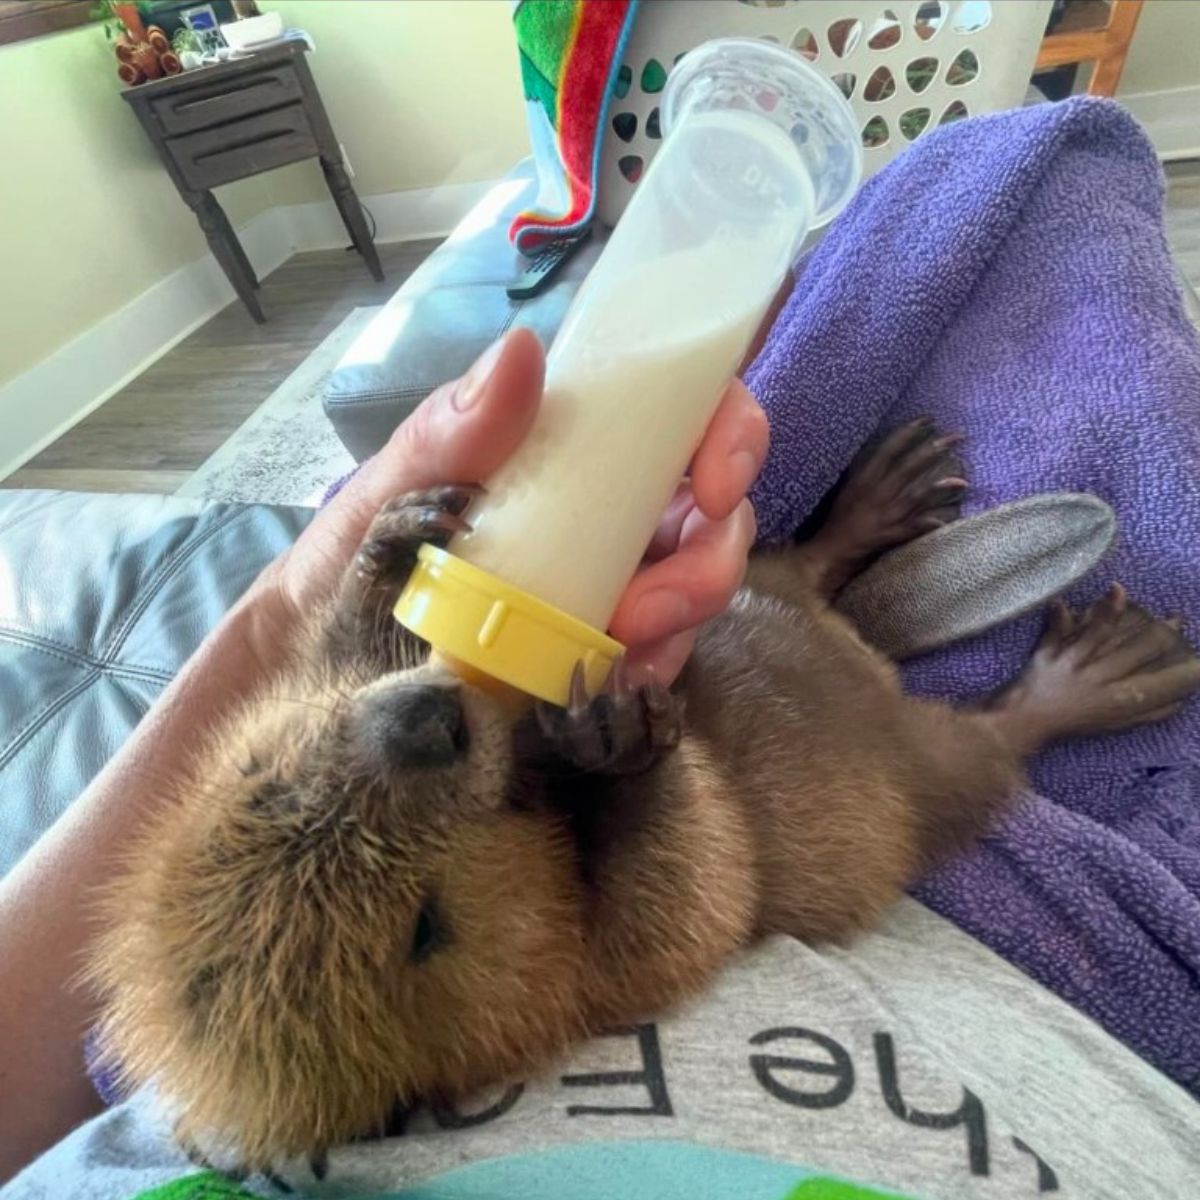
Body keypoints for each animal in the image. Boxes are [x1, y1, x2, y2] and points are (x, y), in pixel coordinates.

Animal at [84, 417, 1200, 1166]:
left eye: (257, 774)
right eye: (421, 930)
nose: (433, 721)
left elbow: (338, 645)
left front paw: (400, 531)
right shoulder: (594, 991)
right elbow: (687, 898)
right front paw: (612, 738)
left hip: (776, 586)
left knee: (786, 564)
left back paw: (892, 487)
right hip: (925, 772)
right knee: (988, 747)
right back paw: (1108, 666)